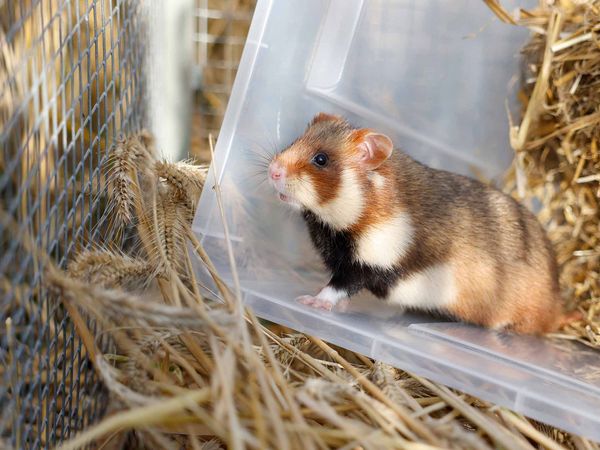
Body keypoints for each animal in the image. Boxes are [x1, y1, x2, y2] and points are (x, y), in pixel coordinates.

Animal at [270, 112, 576, 334]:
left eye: (321, 159)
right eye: (295, 139)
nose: (273, 170)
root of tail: (559, 305)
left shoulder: (368, 264)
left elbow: (337, 287)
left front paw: (309, 300)